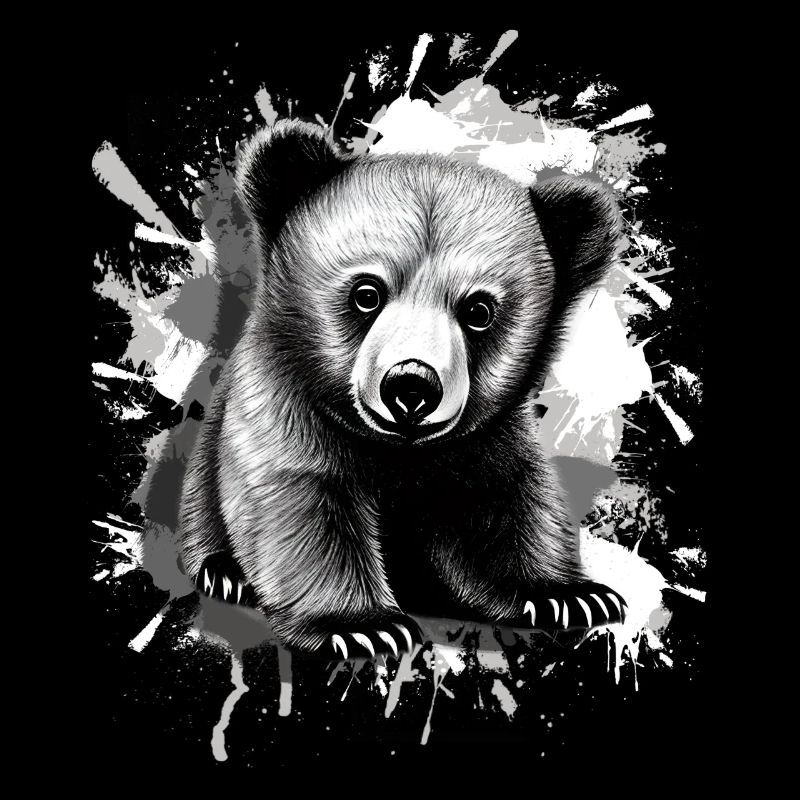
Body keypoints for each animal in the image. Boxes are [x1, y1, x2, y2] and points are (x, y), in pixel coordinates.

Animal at [176, 119, 626, 660]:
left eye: (478, 310)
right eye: (367, 293)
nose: (411, 386)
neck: (401, 452)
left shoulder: (485, 441)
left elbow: (505, 504)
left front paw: (570, 595)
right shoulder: (287, 401)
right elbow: (304, 500)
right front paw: (361, 626)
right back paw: (225, 573)